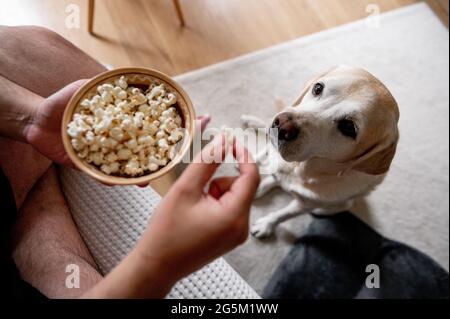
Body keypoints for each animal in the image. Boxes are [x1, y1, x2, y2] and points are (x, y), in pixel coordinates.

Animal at [241, 66, 400, 239]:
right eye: (318, 88)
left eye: (348, 127)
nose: (282, 125)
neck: (299, 168)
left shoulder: (305, 205)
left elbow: (283, 215)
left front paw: (267, 224)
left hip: (341, 204)